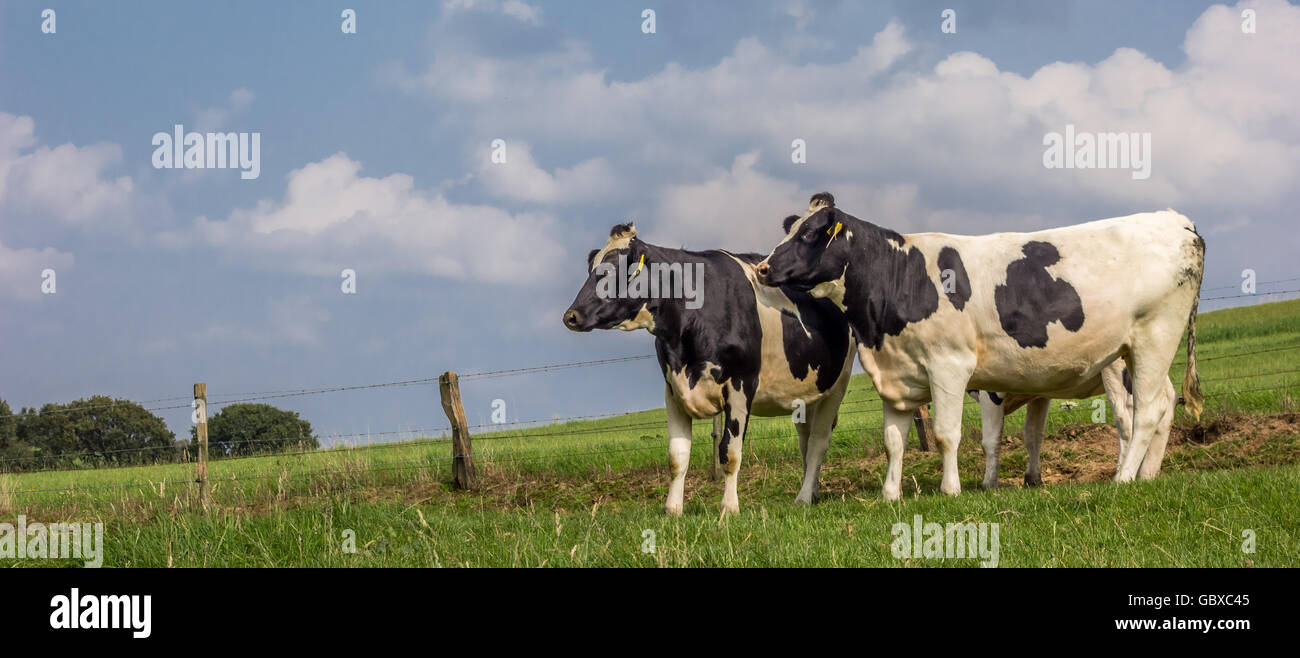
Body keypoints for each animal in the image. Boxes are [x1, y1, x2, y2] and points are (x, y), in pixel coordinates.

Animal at [563, 224, 857, 515]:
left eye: (610, 270)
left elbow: (730, 453)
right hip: (805, 393)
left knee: (818, 441)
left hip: (837, 386)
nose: (570, 316)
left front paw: (728, 508)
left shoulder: (740, 386)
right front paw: (673, 510)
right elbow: (677, 457)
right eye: (591, 269)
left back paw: (804, 497)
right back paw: (811, 492)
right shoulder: (673, 389)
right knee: (805, 440)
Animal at [970, 360, 1178, 489]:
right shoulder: (1039, 394)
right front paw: (1033, 479)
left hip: (1118, 370)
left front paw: (989, 483)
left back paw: (1121, 475)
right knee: (1166, 402)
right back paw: (1149, 473)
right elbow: (1033, 435)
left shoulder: (989, 392)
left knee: (1128, 421)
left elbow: (990, 441)